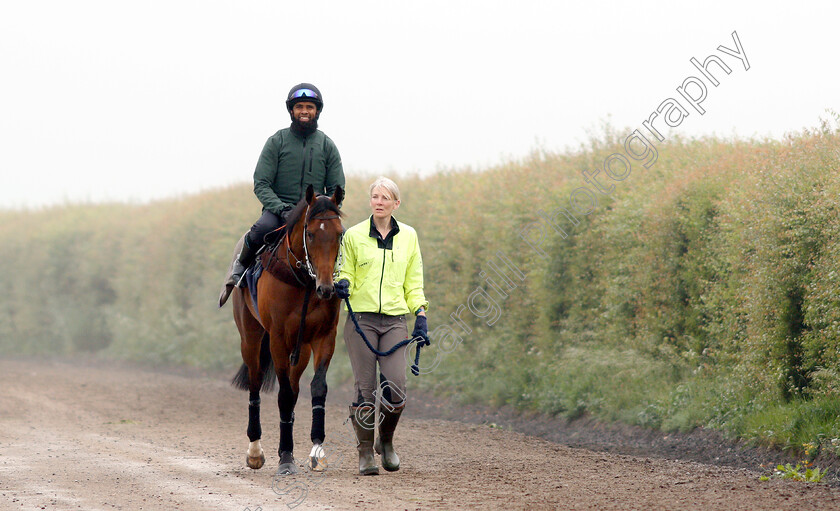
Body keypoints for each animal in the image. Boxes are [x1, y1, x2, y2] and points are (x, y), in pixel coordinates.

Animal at [228, 184, 342, 476]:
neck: (303, 281)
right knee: (255, 384)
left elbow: (317, 388)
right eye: (310, 234)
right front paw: (286, 458)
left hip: (300, 350)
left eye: (339, 233)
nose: (326, 288)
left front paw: (316, 451)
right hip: (251, 338)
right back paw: (255, 451)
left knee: (294, 386)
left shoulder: (325, 336)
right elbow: (283, 395)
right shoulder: (277, 339)